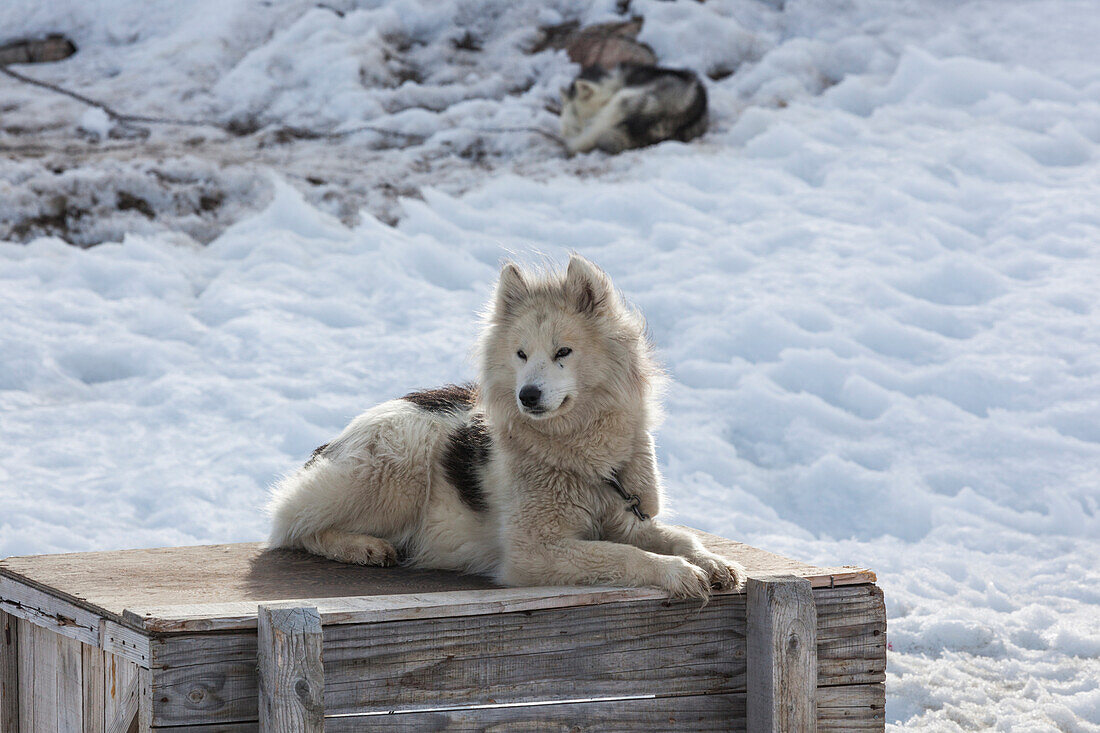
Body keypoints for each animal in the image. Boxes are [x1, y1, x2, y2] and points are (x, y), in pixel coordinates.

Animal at [267, 254, 748, 598]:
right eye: (521, 354)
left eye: (563, 351)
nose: (528, 396)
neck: (581, 454)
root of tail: (335, 440)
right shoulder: (534, 551)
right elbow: (623, 556)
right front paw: (677, 573)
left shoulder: (630, 517)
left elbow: (680, 537)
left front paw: (712, 562)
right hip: (400, 465)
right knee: (290, 524)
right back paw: (362, 546)